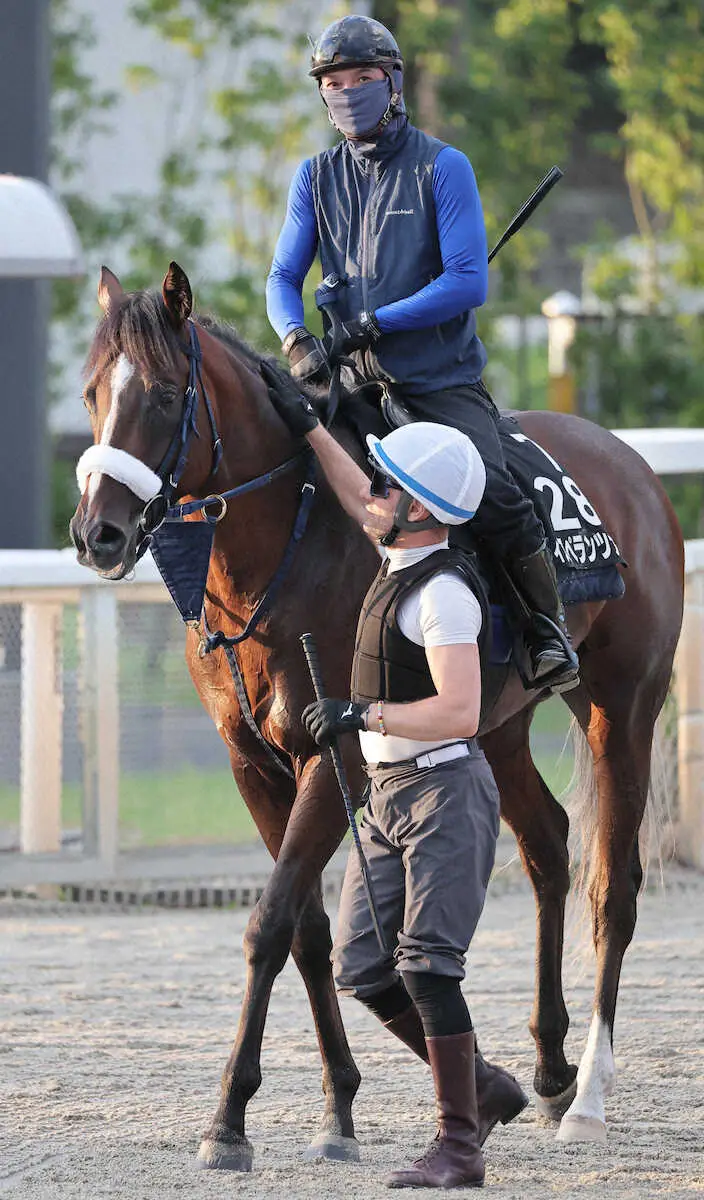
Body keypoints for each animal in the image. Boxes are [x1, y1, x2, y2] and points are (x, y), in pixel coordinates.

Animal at [70, 265, 681, 1171]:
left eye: (166, 394)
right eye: (90, 394)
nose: (97, 534)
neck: (289, 547)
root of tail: (631, 464)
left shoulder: (338, 754)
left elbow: (269, 922)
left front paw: (229, 1118)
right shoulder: (251, 764)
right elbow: (308, 931)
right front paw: (341, 1106)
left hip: (623, 707)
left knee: (615, 886)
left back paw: (591, 1095)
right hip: (496, 724)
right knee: (547, 846)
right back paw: (548, 1066)